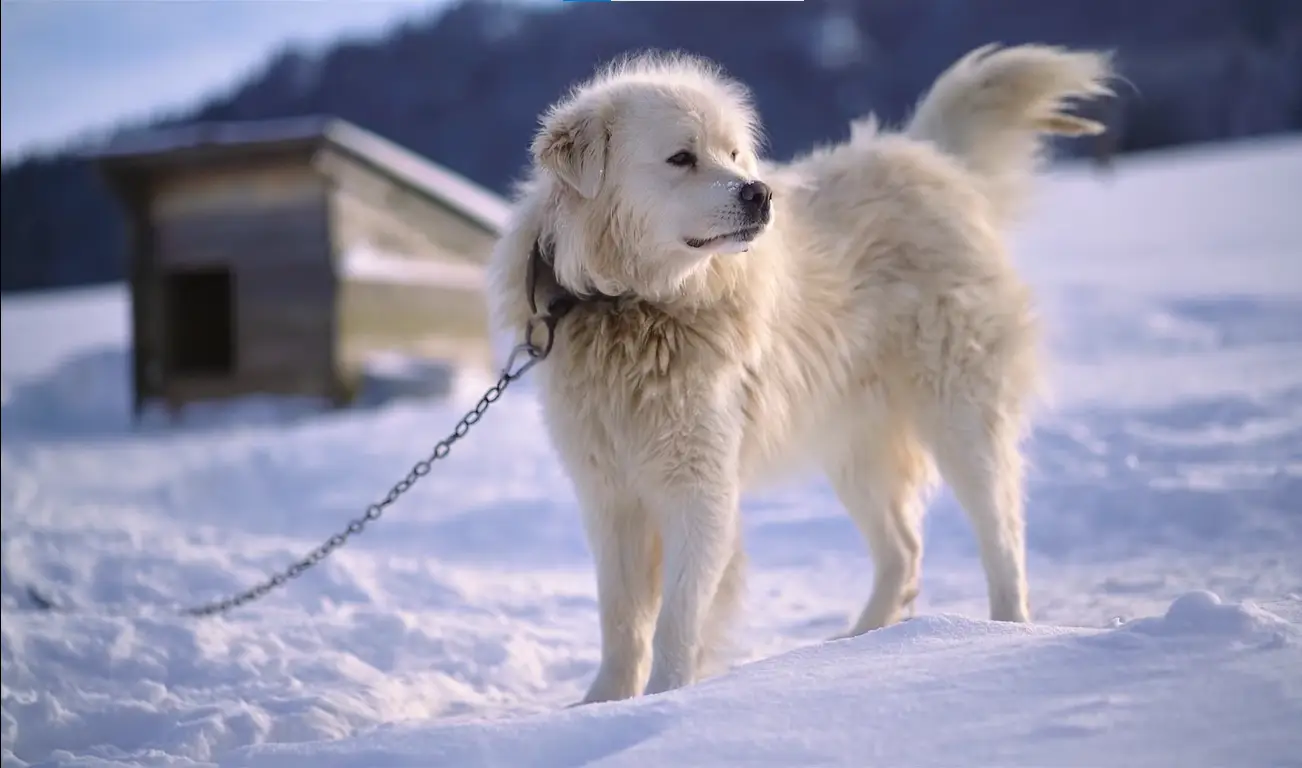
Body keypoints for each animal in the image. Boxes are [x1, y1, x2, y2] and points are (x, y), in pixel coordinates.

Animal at [486, 42, 1109, 702]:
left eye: (734, 154)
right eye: (681, 157)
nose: (759, 193)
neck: (636, 308)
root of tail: (932, 160)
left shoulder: (698, 489)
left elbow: (678, 618)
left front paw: (667, 699)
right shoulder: (609, 495)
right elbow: (622, 619)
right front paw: (602, 705)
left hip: (960, 418)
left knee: (1000, 534)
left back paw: (1005, 634)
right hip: (851, 444)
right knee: (903, 550)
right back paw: (856, 647)